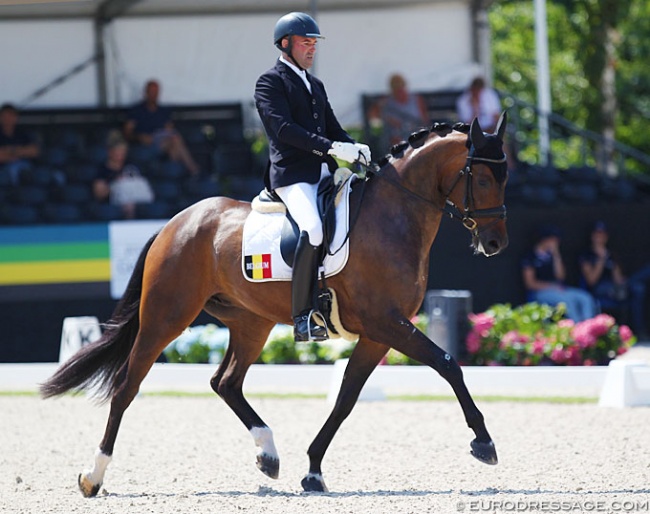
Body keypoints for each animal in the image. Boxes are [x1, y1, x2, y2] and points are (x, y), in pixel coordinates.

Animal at [40, 114, 508, 494]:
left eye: (505, 179)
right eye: (484, 180)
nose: (495, 244)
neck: (394, 217)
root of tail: (175, 223)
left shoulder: (379, 333)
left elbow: (346, 399)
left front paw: (313, 470)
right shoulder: (386, 323)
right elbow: (447, 363)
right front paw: (484, 442)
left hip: (251, 323)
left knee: (225, 382)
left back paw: (268, 454)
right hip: (165, 317)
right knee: (127, 387)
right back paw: (93, 476)